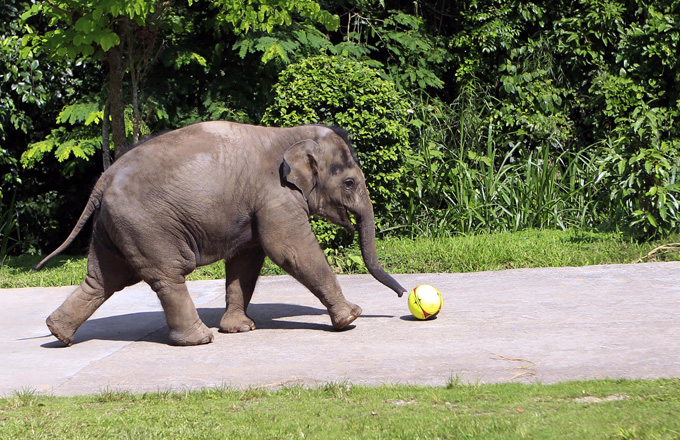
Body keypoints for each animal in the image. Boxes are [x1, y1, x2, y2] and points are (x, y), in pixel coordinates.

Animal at [35, 121, 407, 346]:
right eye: (350, 183)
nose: (404, 294)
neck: (290, 134)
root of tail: (103, 181)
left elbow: (247, 259)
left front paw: (240, 329)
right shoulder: (275, 195)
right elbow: (289, 249)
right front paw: (351, 318)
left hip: (112, 226)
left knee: (103, 279)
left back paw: (58, 334)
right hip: (144, 225)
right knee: (167, 274)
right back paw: (199, 339)